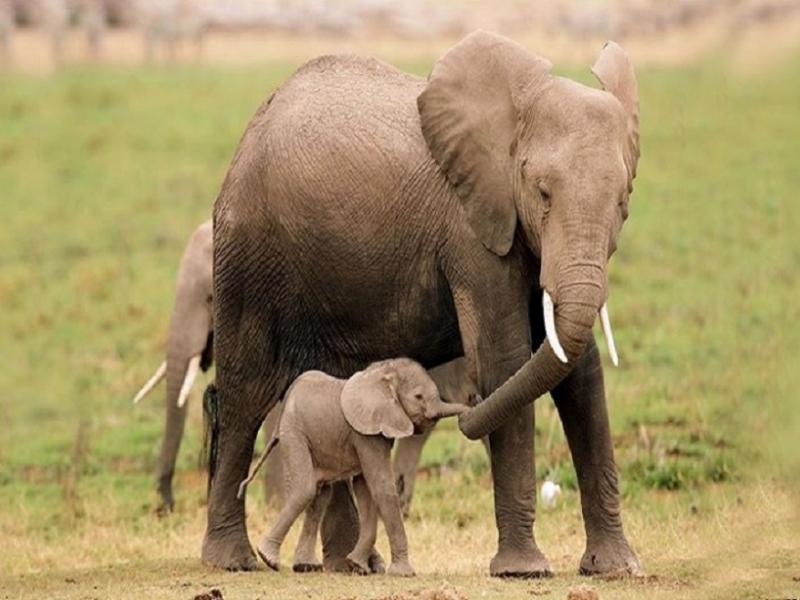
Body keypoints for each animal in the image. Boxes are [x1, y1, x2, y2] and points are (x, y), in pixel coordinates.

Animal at [238, 358, 466, 576]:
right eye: (418, 396)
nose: (467, 412)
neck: (383, 373)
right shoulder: (366, 433)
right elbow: (380, 486)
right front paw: (404, 573)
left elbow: (365, 489)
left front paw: (357, 566)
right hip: (294, 431)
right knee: (304, 489)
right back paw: (268, 558)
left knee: (320, 495)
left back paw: (305, 565)